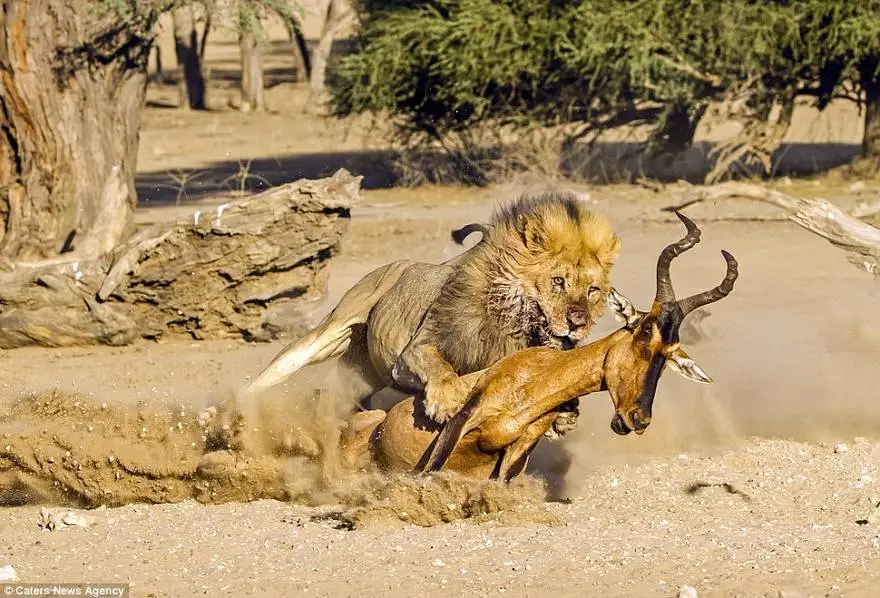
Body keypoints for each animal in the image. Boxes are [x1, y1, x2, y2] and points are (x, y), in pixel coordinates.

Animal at [244, 192, 624, 436]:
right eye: (558, 281)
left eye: (592, 291)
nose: (578, 322)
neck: (509, 325)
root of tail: (397, 265)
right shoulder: (412, 353)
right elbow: (439, 367)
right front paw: (446, 400)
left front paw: (565, 418)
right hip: (326, 334)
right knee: (274, 373)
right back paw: (236, 408)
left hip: (362, 372)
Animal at [336, 213, 736, 486]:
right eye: (645, 330)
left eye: (669, 355)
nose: (637, 419)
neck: (534, 380)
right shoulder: (462, 419)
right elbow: (430, 472)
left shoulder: (518, 453)